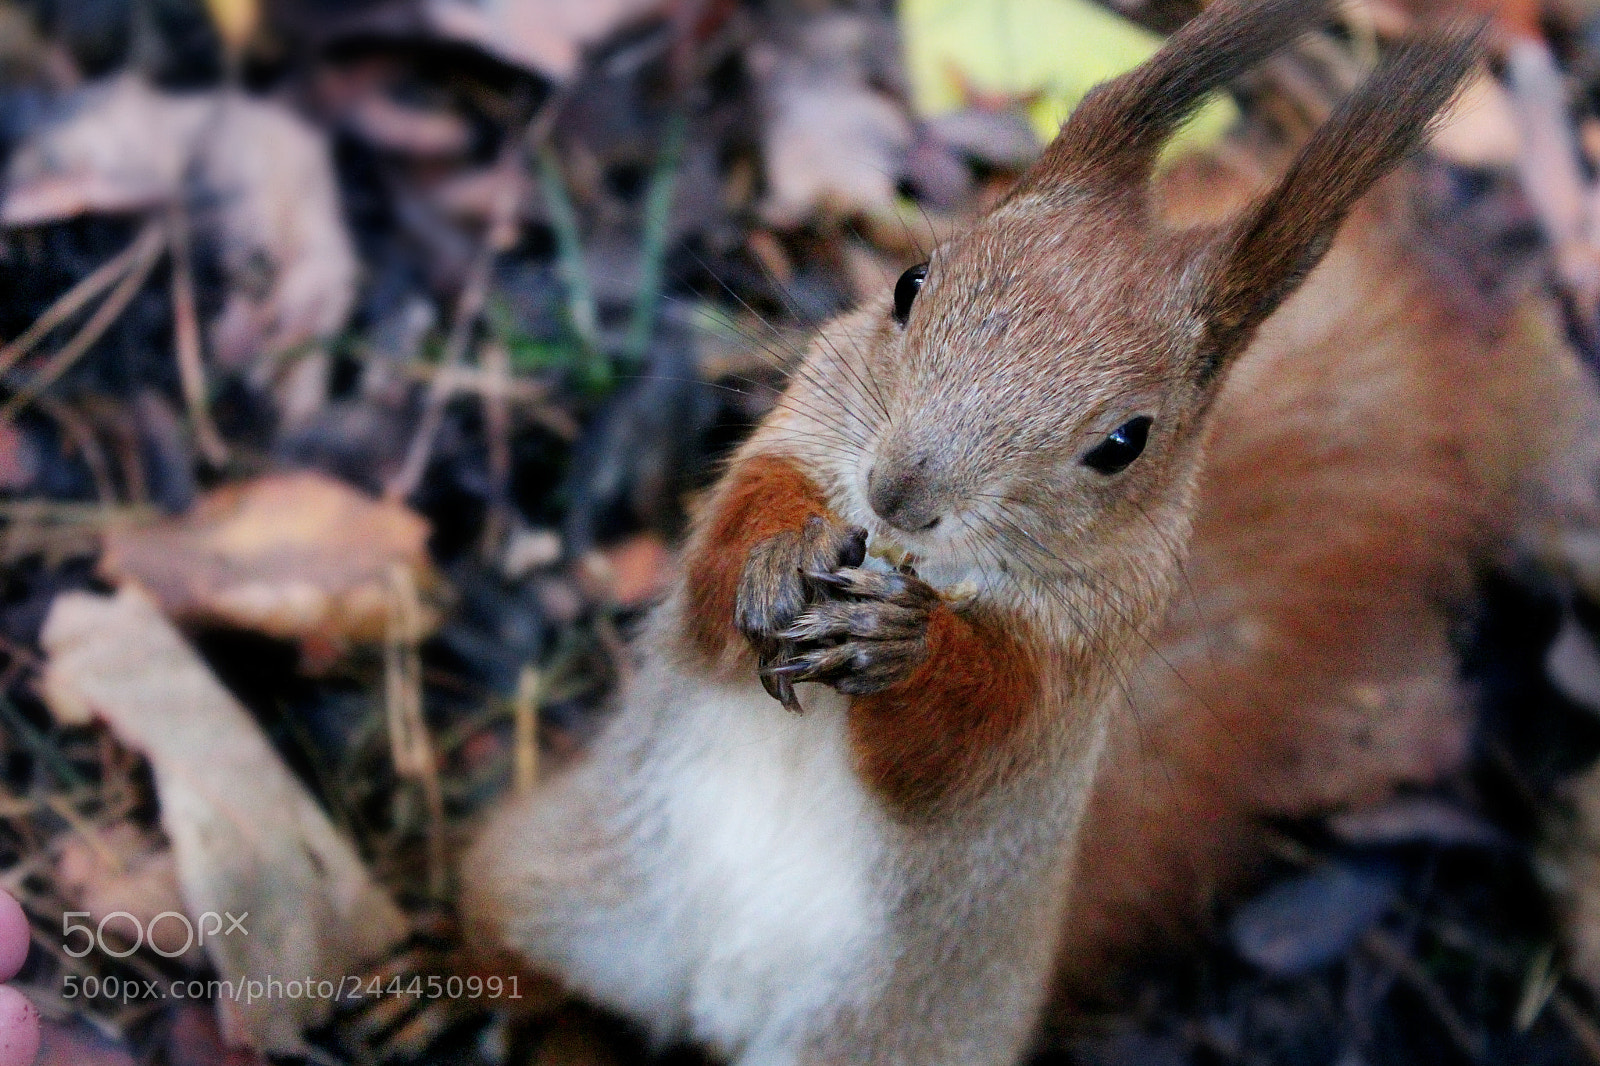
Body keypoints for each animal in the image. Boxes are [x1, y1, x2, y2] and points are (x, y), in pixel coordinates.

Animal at [462, 2, 1575, 1062]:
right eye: (910, 282)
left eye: (1125, 442)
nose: (898, 492)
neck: (921, 563)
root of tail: (716, 1001)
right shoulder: (797, 438)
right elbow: (713, 577)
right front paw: (780, 555)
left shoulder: (1076, 666)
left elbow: (961, 746)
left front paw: (902, 646)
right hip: (563, 890)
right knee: (532, 964)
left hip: (893, 1039)